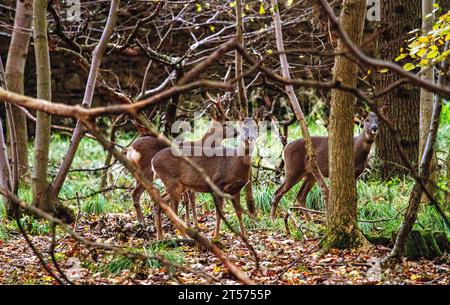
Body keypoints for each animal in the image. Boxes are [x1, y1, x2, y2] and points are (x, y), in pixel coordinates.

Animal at [125, 95, 234, 228]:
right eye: (225, 123)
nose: (236, 132)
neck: (202, 144)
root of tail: (131, 149)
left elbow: (187, 199)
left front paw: (189, 223)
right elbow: (191, 199)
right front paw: (194, 224)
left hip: (138, 173)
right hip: (147, 172)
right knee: (136, 193)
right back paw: (142, 221)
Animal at [152, 109, 264, 240]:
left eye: (256, 127)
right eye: (243, 127)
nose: (250, 137)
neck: (234, 163)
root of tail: (153, 161)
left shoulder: (236, 190)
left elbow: (239, 213)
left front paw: (245, 237)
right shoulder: (217, 185)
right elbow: (219, 214)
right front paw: (215, 238)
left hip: (178, 185)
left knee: (159, 204)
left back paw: (161, 237)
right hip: (172, 182)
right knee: (173, 211)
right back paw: (186, 238)